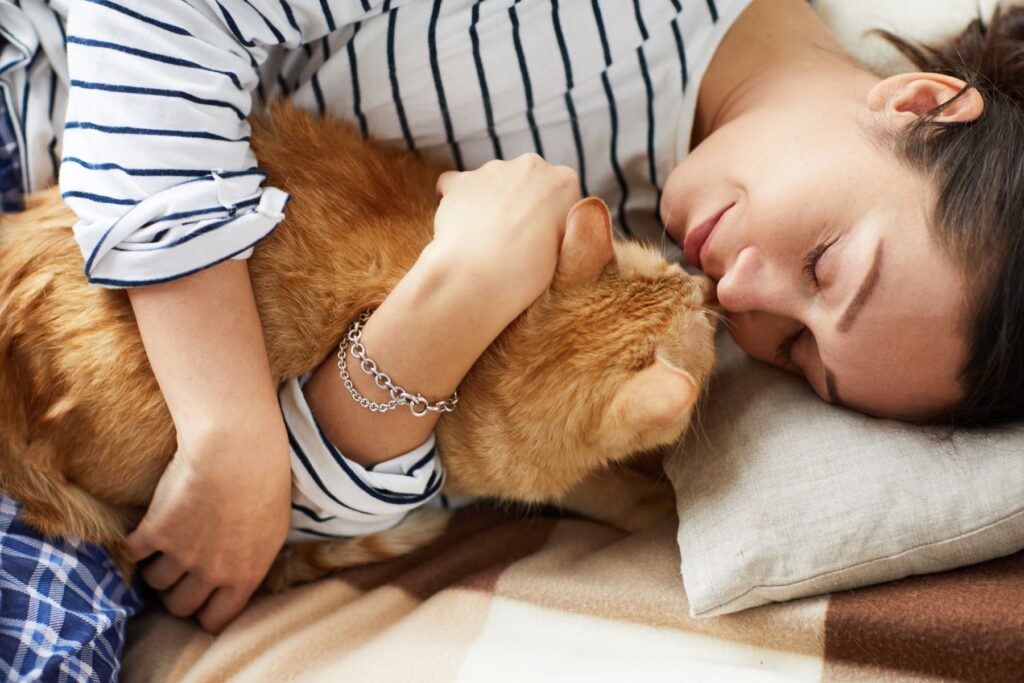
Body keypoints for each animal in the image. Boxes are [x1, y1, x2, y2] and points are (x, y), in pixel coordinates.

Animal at [0, 104, 712, 589]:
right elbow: (588, 489)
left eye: (679, 277)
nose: (708, 285)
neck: (492, 351)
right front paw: (645, 501)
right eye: (703, 318)